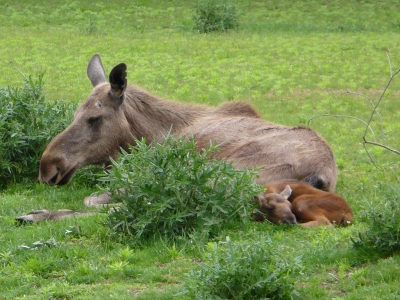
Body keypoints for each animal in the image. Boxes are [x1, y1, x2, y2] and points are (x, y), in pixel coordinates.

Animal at [20, 54, 338, 220]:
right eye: (74, 113)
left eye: (94, 118)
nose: (48, 166)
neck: (148, 136)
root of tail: (322, 173)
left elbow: (94, 199)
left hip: (224, 174)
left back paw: (36, 214)